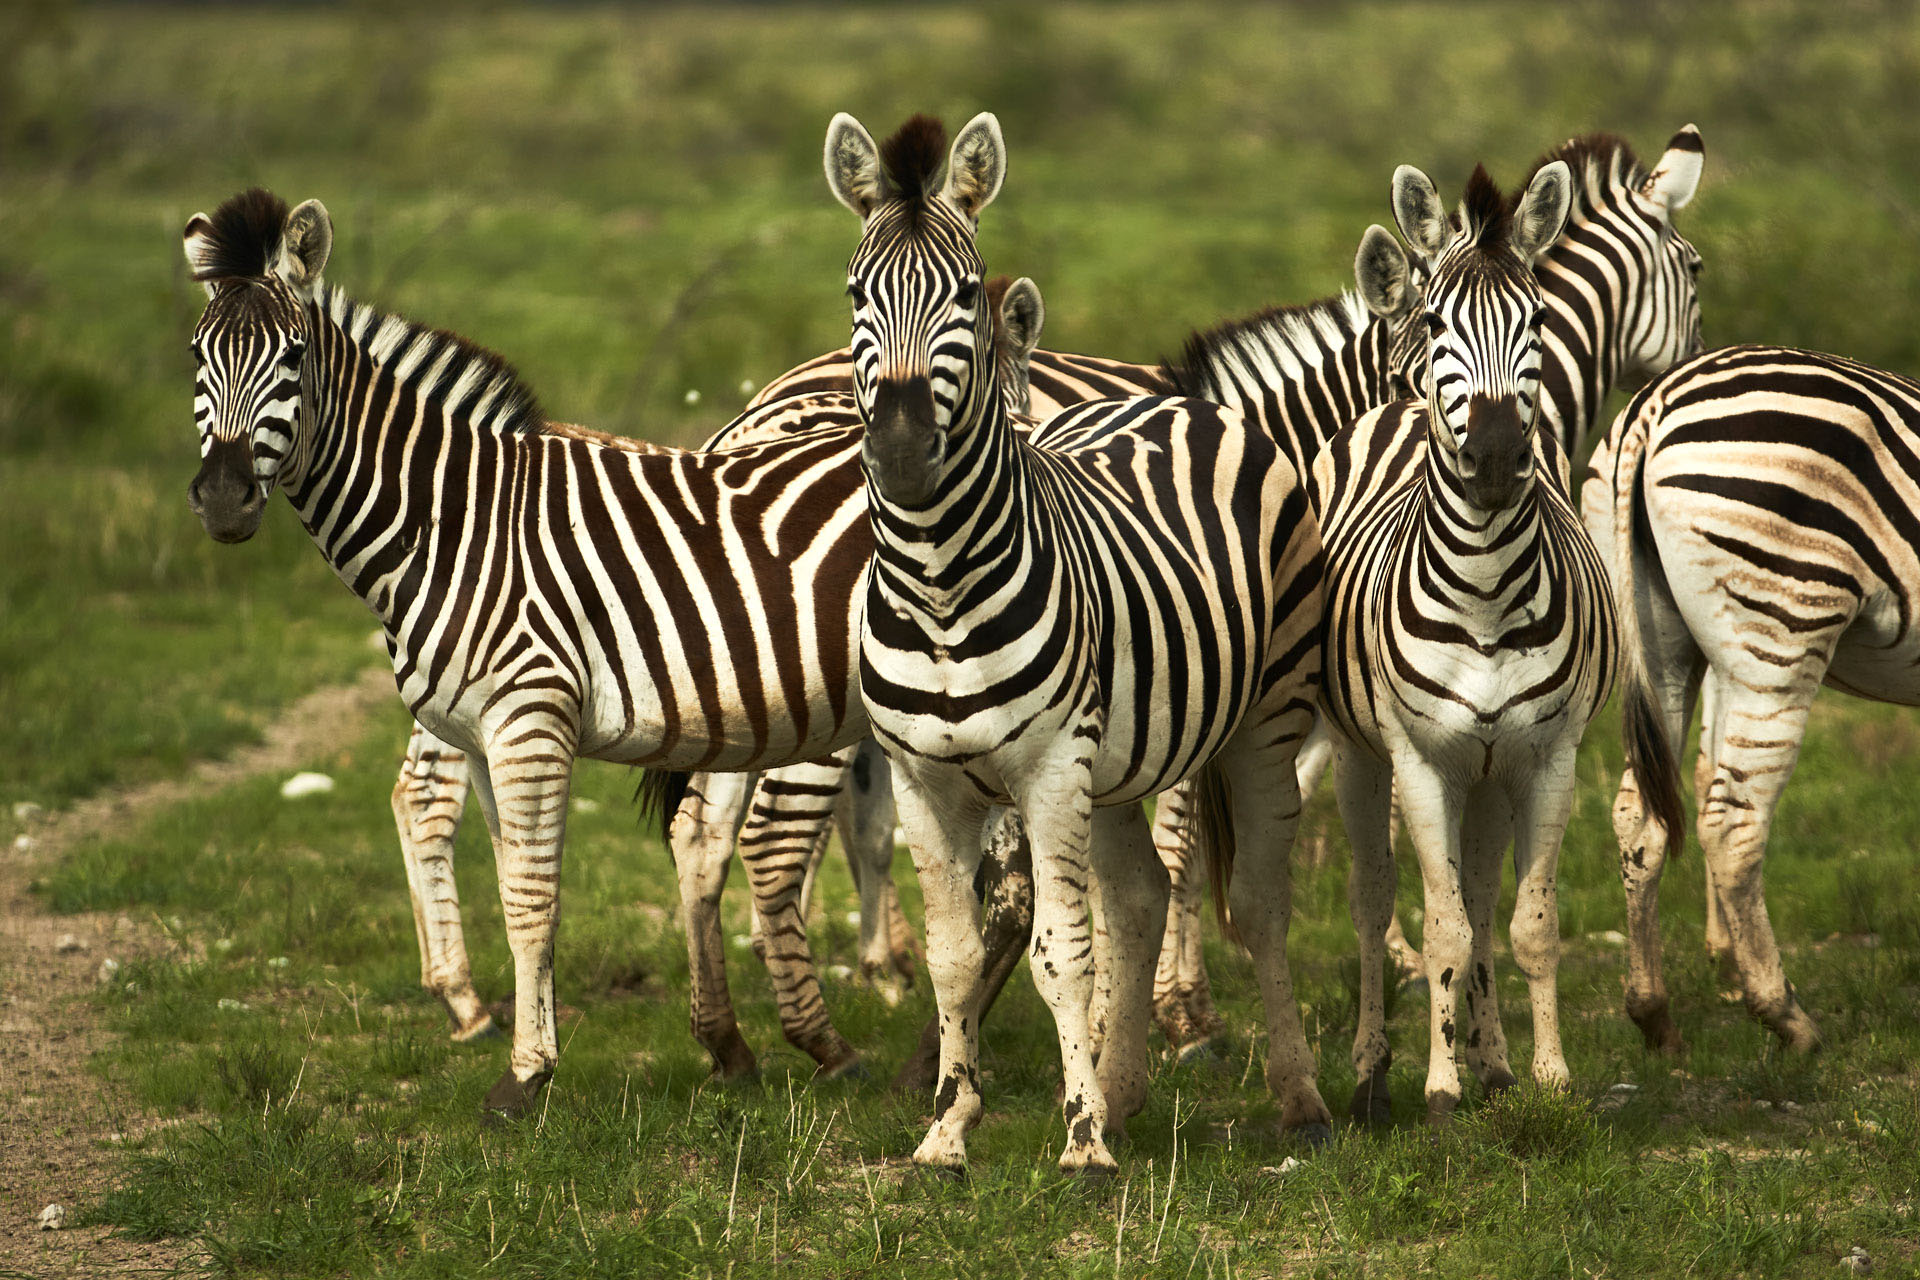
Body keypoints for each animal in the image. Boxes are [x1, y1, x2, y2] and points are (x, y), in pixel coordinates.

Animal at [183, 187, 912, 1117]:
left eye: (294, 355)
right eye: (197, 356)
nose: (224, 498)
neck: (451, 522)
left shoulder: (529, 719)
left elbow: (532, 898)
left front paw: (525, 1077)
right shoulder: (481, 733)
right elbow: (513, 892)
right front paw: (530, 1055)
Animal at [826, 111, 1329, 1170]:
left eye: (963, 294)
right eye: (857, 293)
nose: (899, 451)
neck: (938, 583)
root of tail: (1174, 395)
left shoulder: (1051, 765)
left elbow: (1062, 949)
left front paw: (1082, 1143)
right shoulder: (923, 779)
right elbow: (954, 955)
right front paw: (949, 1128)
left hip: (1264, 717)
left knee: (1260, 900)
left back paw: (1299, 1100)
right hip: (1121, 760)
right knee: (1139, 898)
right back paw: (1127, 1092)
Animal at [1313, 160, 1618, 1123]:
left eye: (1539, 322)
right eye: (1442, 323)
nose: (1490, 457)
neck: (1485, 596)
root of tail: (1396, 409)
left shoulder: (1548, 757)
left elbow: (1528, 923)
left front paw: (1547, 1076)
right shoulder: (1422, 760)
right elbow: (1441, 926)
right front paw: (1437, 1086)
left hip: (1490, 772)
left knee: (1485, 901)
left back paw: (1493, 1059)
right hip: (1359, 754)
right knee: (1374, 901)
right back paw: (1376, 1067)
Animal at [1595, 343, 1920, 1055]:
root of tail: (1655, 402)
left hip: (1660, 641)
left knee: (1638, 813)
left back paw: (1653, 1013)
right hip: (1781, 630)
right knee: (1732, 825)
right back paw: (1786, 1017)